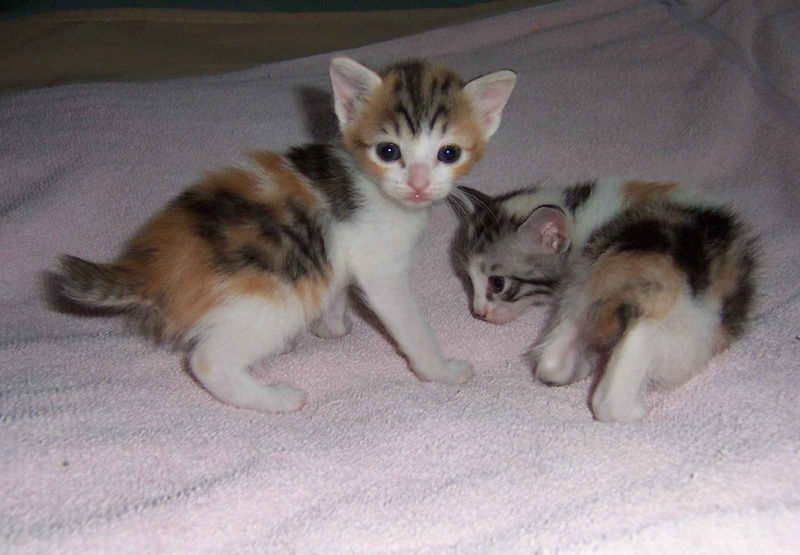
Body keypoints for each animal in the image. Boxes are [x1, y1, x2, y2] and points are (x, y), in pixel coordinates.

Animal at [54, 57, 520, 412]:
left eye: (449, 153)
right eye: (389, 151)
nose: (420, 185)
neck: (374, 186)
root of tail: (150, 266)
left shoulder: (339, 253)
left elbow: (336, 288)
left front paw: (332, 326)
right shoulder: (381, 268)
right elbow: (408, 323)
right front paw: (440, 370)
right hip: (270, 299)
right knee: (207, 361)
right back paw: (275, 398)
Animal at [454, 178, 760, 422]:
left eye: (497, 283)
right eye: (468, 279)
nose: (478, 312)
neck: (577, 212)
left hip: (584, 288)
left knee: (552, 361)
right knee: (643, 335)